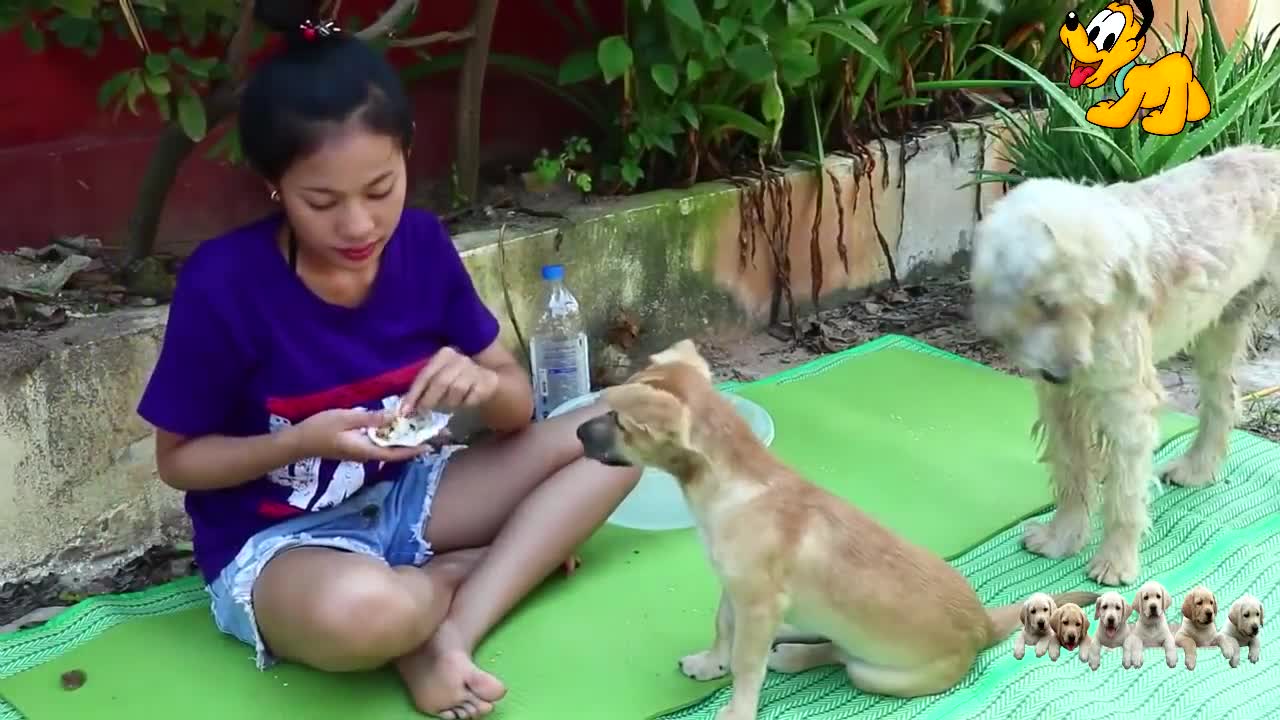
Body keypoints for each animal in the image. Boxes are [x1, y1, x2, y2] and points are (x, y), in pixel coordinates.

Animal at [576, 340, 1095, 717]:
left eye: (617, 420)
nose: (576, 434)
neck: (732, 482)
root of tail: (984, 624)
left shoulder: (757, 602)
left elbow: (746, 663)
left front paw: (736, 707)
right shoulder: (735, 588)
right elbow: (723, 628)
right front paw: (710, 663)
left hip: (875, 674)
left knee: (841, 658)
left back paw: (792, 656)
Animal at [967, 146, 1280, 584]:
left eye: (1095, 304)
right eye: (1045, 303)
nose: (1064, 373)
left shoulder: (1126, 404)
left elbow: (1124, 493)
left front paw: (1115, 562)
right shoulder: (1060, 405)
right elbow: (1070, 469)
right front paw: (1062, 538)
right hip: (1220, 328)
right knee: (1223, 401)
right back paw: (1197, 469)